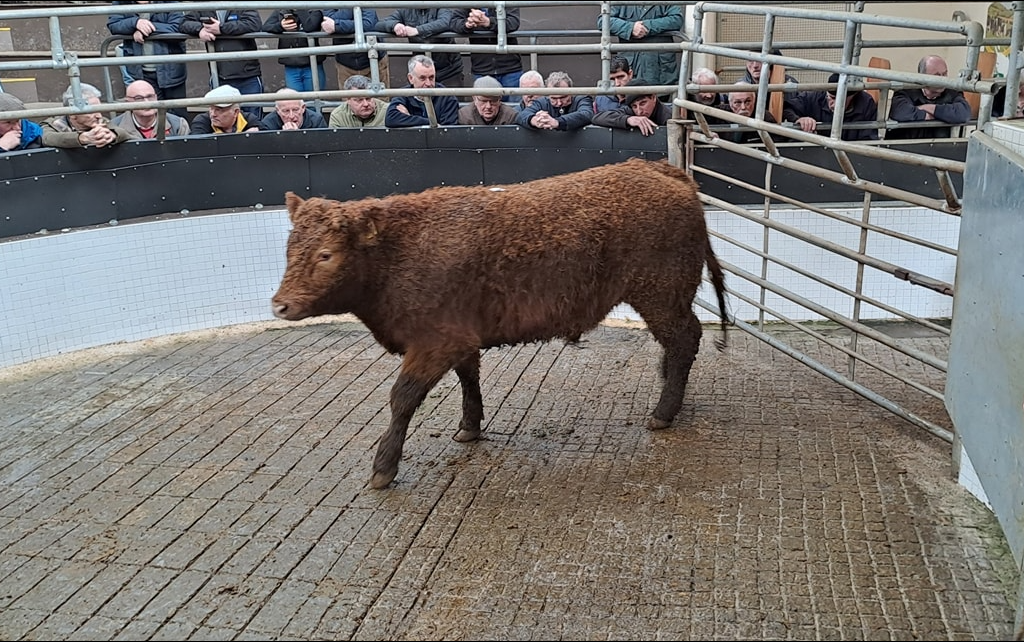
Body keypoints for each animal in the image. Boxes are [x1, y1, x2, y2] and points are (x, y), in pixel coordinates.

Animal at [271, 158, 729, 489]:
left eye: (327, 254)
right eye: (290, 248)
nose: (280, 305)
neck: (399, 252)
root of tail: (658, 169)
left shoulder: (434, 343)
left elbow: (402, 399)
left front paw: (384, 467)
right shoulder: (459, 337)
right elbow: (468, 379)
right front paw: (470, 427)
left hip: (661, 294)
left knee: (685, 339)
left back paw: (664, 411)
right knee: (676, 345)